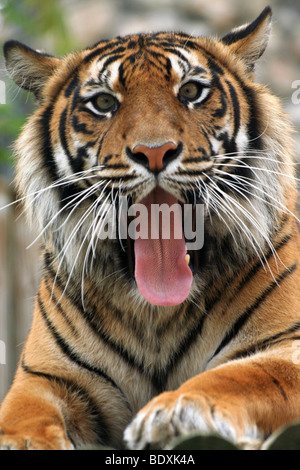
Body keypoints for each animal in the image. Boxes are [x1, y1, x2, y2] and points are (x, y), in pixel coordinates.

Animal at [0, 5, 300, 450]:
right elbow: (22, 417)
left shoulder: (287, 345)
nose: (155, 152)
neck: (155, 317)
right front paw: (22, 441)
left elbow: (243, 374)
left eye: (190, 92)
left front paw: (174, 412)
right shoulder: (44, 378)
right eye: (103, 102)